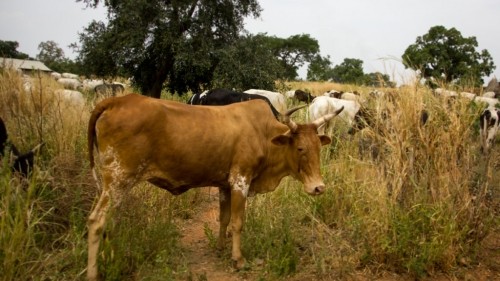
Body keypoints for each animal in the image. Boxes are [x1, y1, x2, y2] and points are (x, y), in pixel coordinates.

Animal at [86, 94, 344, 280]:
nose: (318, 188)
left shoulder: (224, 184)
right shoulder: (240, 180)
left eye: (318, 147)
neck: (264, 134)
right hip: (117, 179)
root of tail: (115, 101)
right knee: (97, 221)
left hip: (120, 185)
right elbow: (238, 222)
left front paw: (221, 247)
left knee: (112, 221)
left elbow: (224, 218)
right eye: (300, 148)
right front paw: (238, 259)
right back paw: (93, 273)